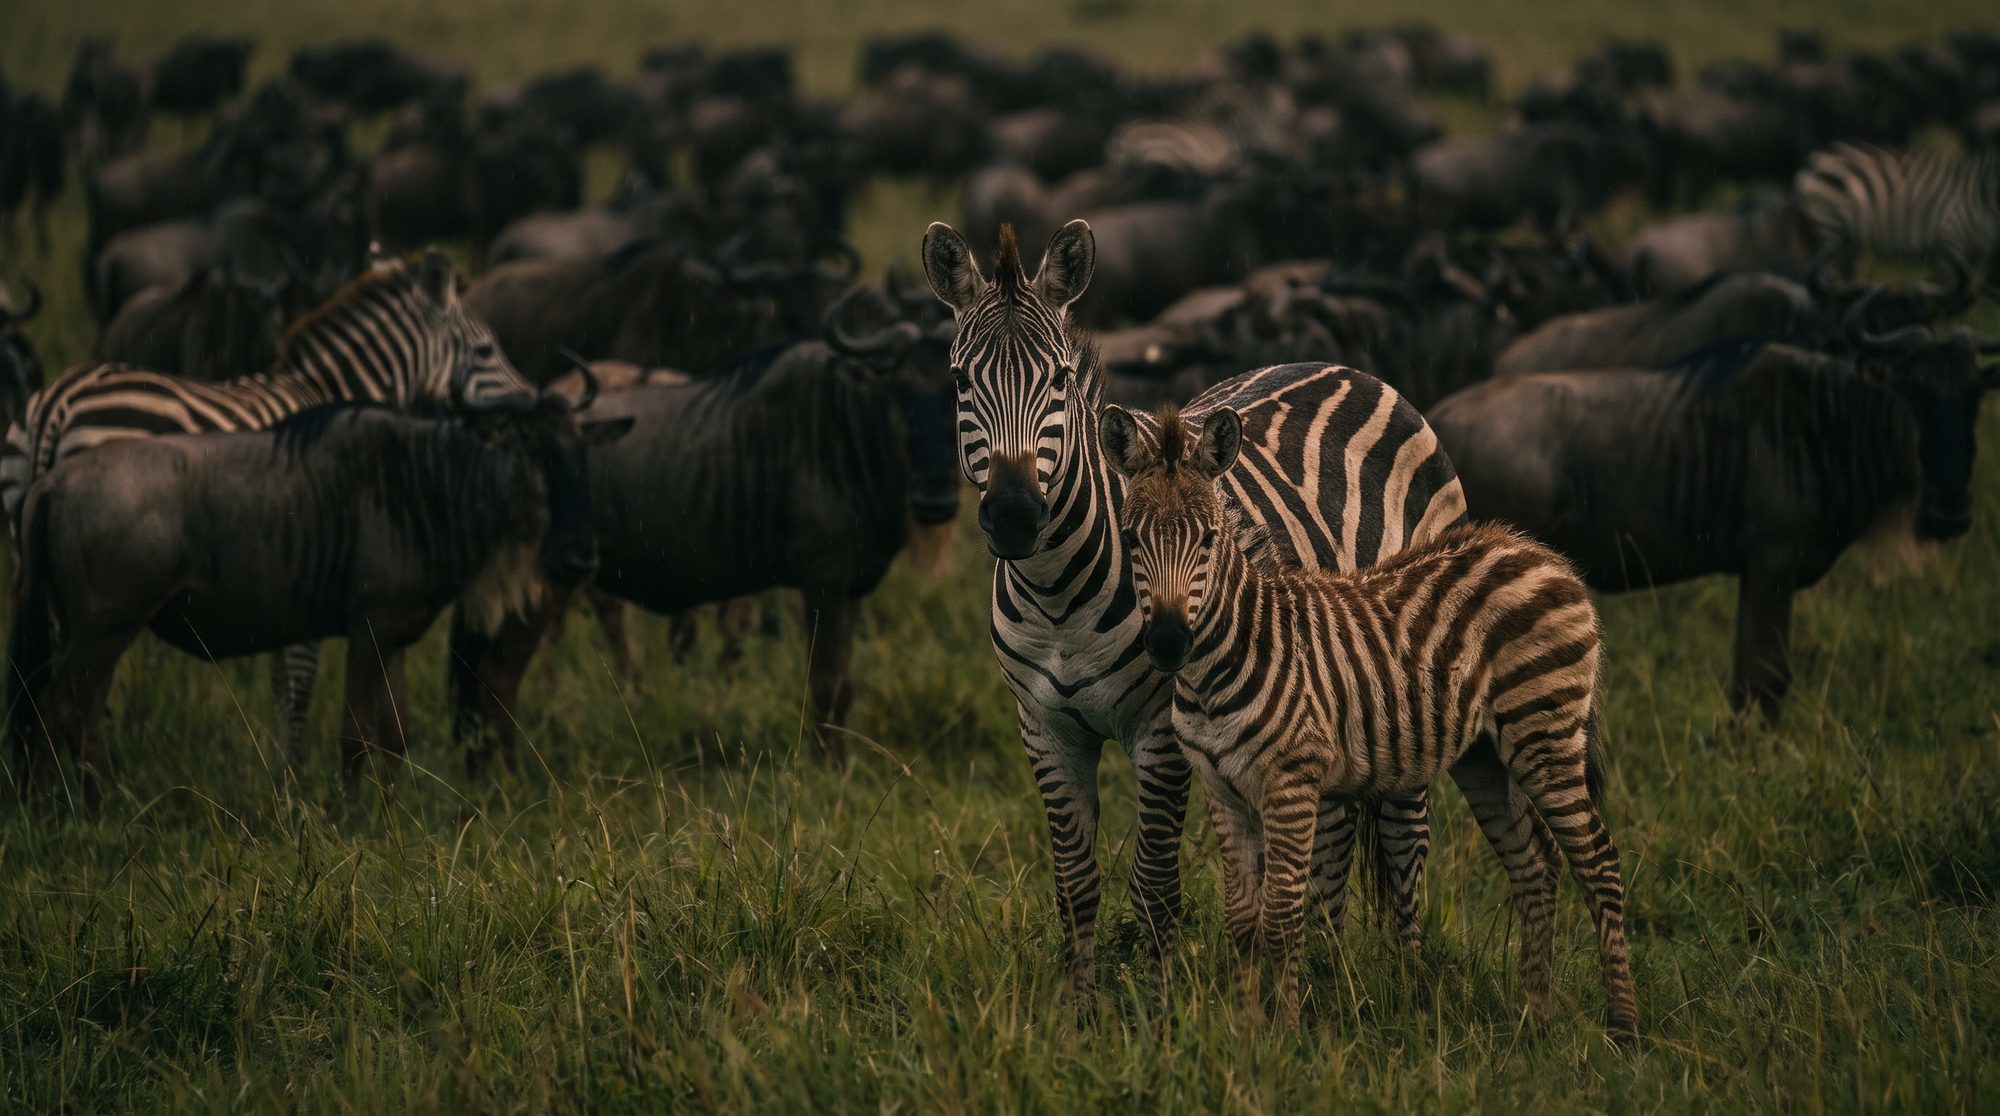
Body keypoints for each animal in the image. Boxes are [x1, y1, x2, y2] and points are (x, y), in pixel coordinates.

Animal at [2, 248, 535, 767]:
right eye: (486, 350)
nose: (532, 400)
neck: (334, 391)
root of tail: (54, 406)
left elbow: (283, 679)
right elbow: (299, 680)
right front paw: (293, 778)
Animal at [920, 218, 1467, 1013]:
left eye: (1059, 379)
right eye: (961, 381)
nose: (1016, 516)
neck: (1057, 601)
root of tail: (1348, 367)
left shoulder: (1162, 731)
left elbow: (1153, 887)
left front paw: (1155, 1013)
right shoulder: (1045, 729)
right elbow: (1075, 888)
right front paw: (1080, 1015)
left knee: (1405, 840)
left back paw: (1404, 977)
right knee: (1334, 832)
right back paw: (1327, 969)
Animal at [1103, 401, 1636, 1036]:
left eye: (1208, 539)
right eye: (1131, 539)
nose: (1166, 643)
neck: (1220, 666)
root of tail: (1540, 553)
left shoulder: (1293, 781)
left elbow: (1282, 918)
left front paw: (1282, 1035)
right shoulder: (1221, 788)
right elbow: (1243, 921)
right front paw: (1246, 1030)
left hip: (1544, 735)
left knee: (1599, 862)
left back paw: (1624, 1027)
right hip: (1484, 756)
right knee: (1536, 864)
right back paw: (1534, 1015)